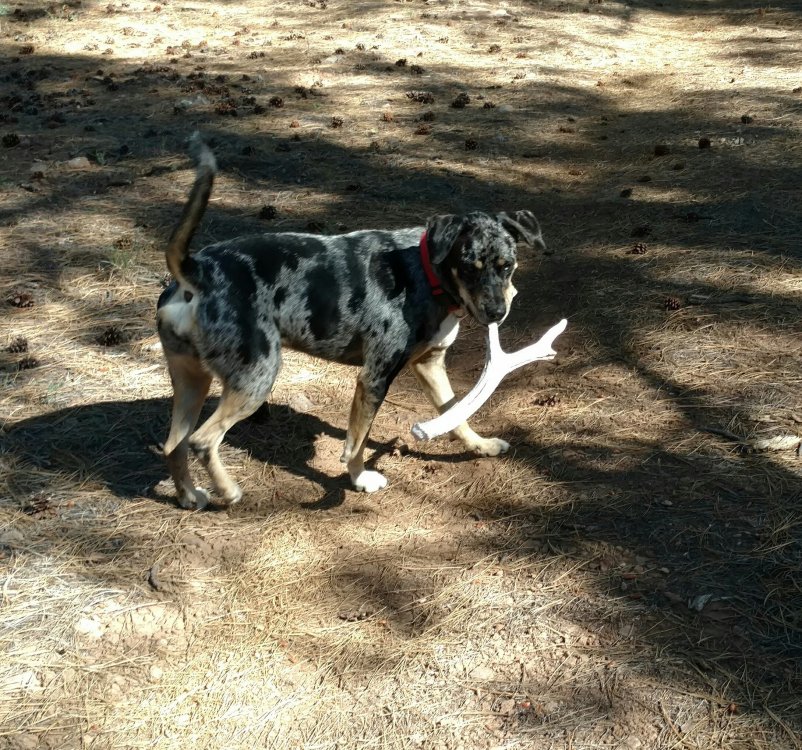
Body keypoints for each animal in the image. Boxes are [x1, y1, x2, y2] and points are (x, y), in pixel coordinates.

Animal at [156, 135, 544, 512]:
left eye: (506, 265)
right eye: (467, 267)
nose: (496, 312)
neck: (423, 271)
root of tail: (197, 271)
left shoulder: (430, 365)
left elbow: (457, 414)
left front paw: (481, 445)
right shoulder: (374, 379)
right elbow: (356, 444)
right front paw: (360, 480)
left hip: (193, 382)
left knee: (174, 444)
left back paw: (188, 496)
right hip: (255, 380)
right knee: (202, 440)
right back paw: (229, 490)